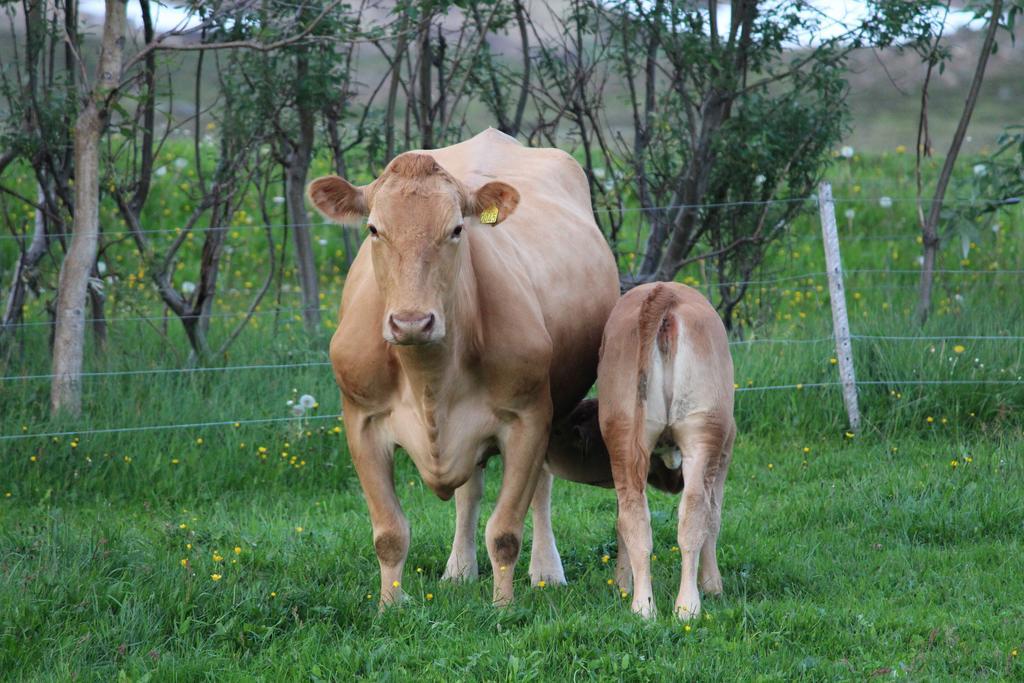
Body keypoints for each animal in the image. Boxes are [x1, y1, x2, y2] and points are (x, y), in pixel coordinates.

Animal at [307, 127, 618, 602]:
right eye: (374, 229)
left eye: (455, 229)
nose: (411, 321)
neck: (429, 377)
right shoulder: (361, 420)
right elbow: (389, 533)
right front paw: (390, 605)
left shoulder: (528, 418)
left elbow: (505, 530)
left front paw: (504, 607)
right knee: (469, 491)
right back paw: (458, 570)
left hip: (553, 406)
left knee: (540, 489)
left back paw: (546, 571)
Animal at [552, 282, 737, 618]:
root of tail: (665, 292)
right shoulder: (726, 451)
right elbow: (715, 517)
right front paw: (713, 585)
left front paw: (622, 584)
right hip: (704, 432)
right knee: (693, 513)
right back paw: (682, 605)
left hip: (628, 437)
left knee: (639, 515)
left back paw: (650, 607)